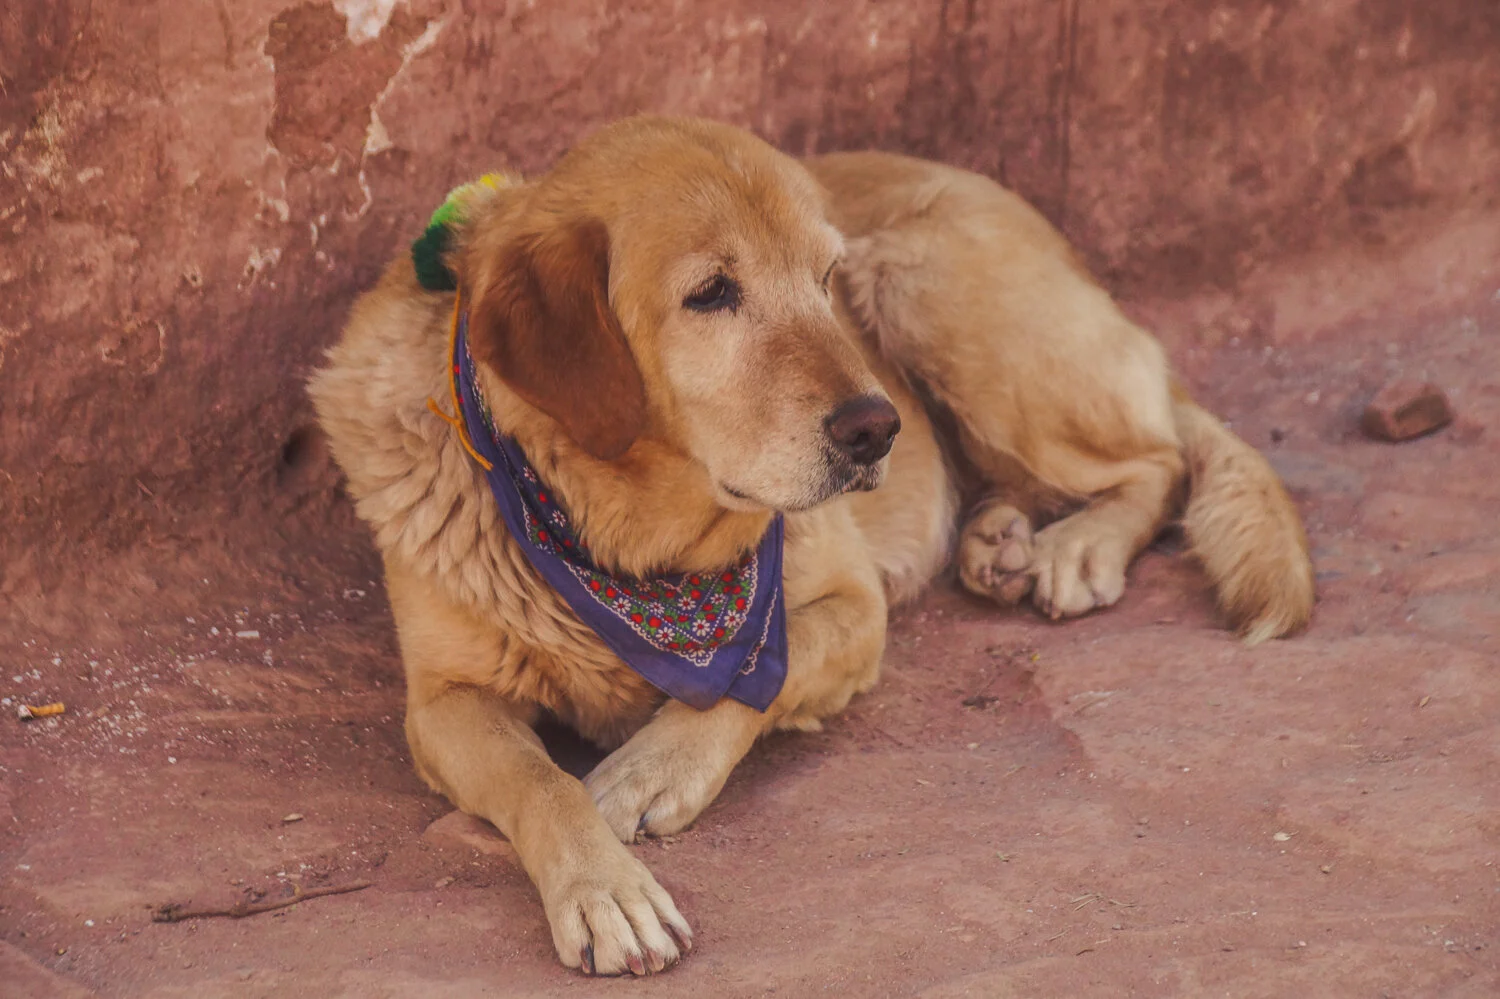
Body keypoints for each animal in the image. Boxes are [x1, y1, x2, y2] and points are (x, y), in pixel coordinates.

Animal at [309, 115, 1313, 976]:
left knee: (1158, 458)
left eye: (824, 279)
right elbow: (539, 781)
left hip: (924, 282)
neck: (627, 540)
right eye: (711, 293)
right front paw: (604, 891)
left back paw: (1078, 546)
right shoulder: (442, 703)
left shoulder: (852, 610)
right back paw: (1000, 538)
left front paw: (649, 771)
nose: (877, 428)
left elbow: (759, 677)